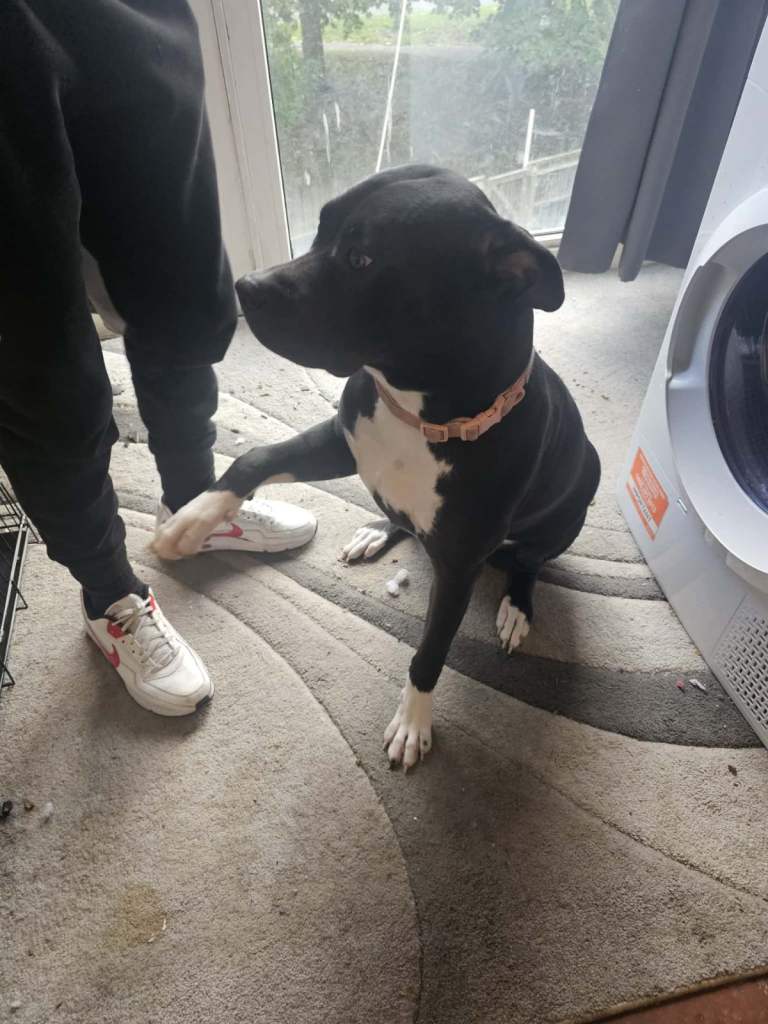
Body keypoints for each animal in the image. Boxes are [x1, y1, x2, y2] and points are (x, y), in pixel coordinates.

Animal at [153, 165, 601, 770]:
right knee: (402, 518)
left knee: (530, 559)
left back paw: (516, 606)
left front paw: (413, 722)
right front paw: (190, 520)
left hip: (577, 497)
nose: (246, 286)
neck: (420, 414)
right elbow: (256, 456)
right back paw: (376, 530)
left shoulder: (458, 569)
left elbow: (430, 651)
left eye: (360, 258)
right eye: (320, 230)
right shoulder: (343, 441)